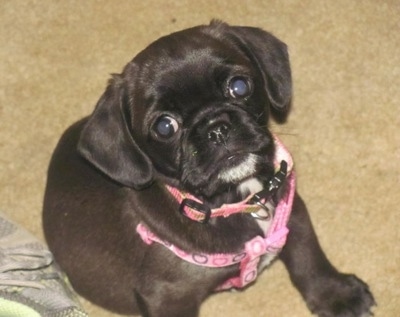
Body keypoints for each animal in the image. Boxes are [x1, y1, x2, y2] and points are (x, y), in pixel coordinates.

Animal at [43, 21, 376, 314]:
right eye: (165, 126)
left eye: (239, 86)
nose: (216, 128)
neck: (236, 198)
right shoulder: (168, 296)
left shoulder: (291, 212)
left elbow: (308, 256)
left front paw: (337, 294)